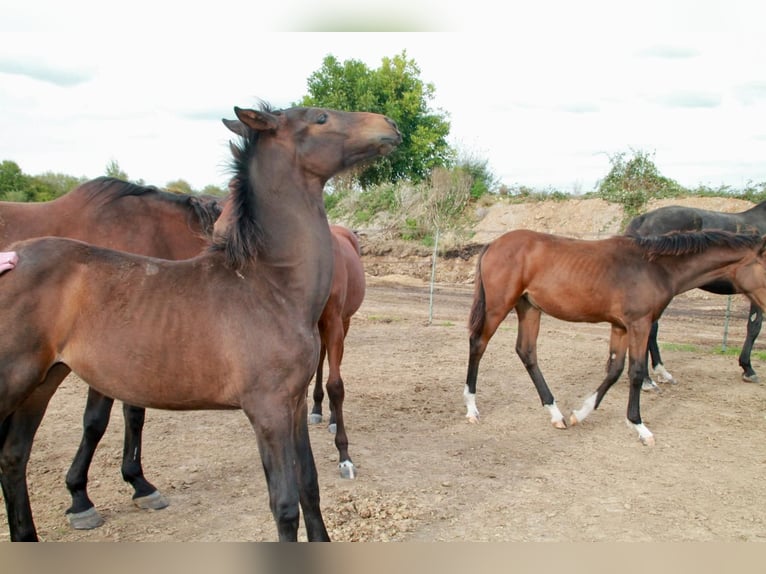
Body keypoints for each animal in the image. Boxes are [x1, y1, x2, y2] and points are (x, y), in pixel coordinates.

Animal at [462, 227, 766, 448]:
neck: (656, 267)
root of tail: (492, 244)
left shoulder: (620, 327)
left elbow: (614, 370)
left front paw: (580, 413)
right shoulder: (639, 324)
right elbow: (636, 371)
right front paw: (640, 426)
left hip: (529, 308)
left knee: (526, 352)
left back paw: (556, 414)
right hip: (498, 306)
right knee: (479, 344)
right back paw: (472, 409)